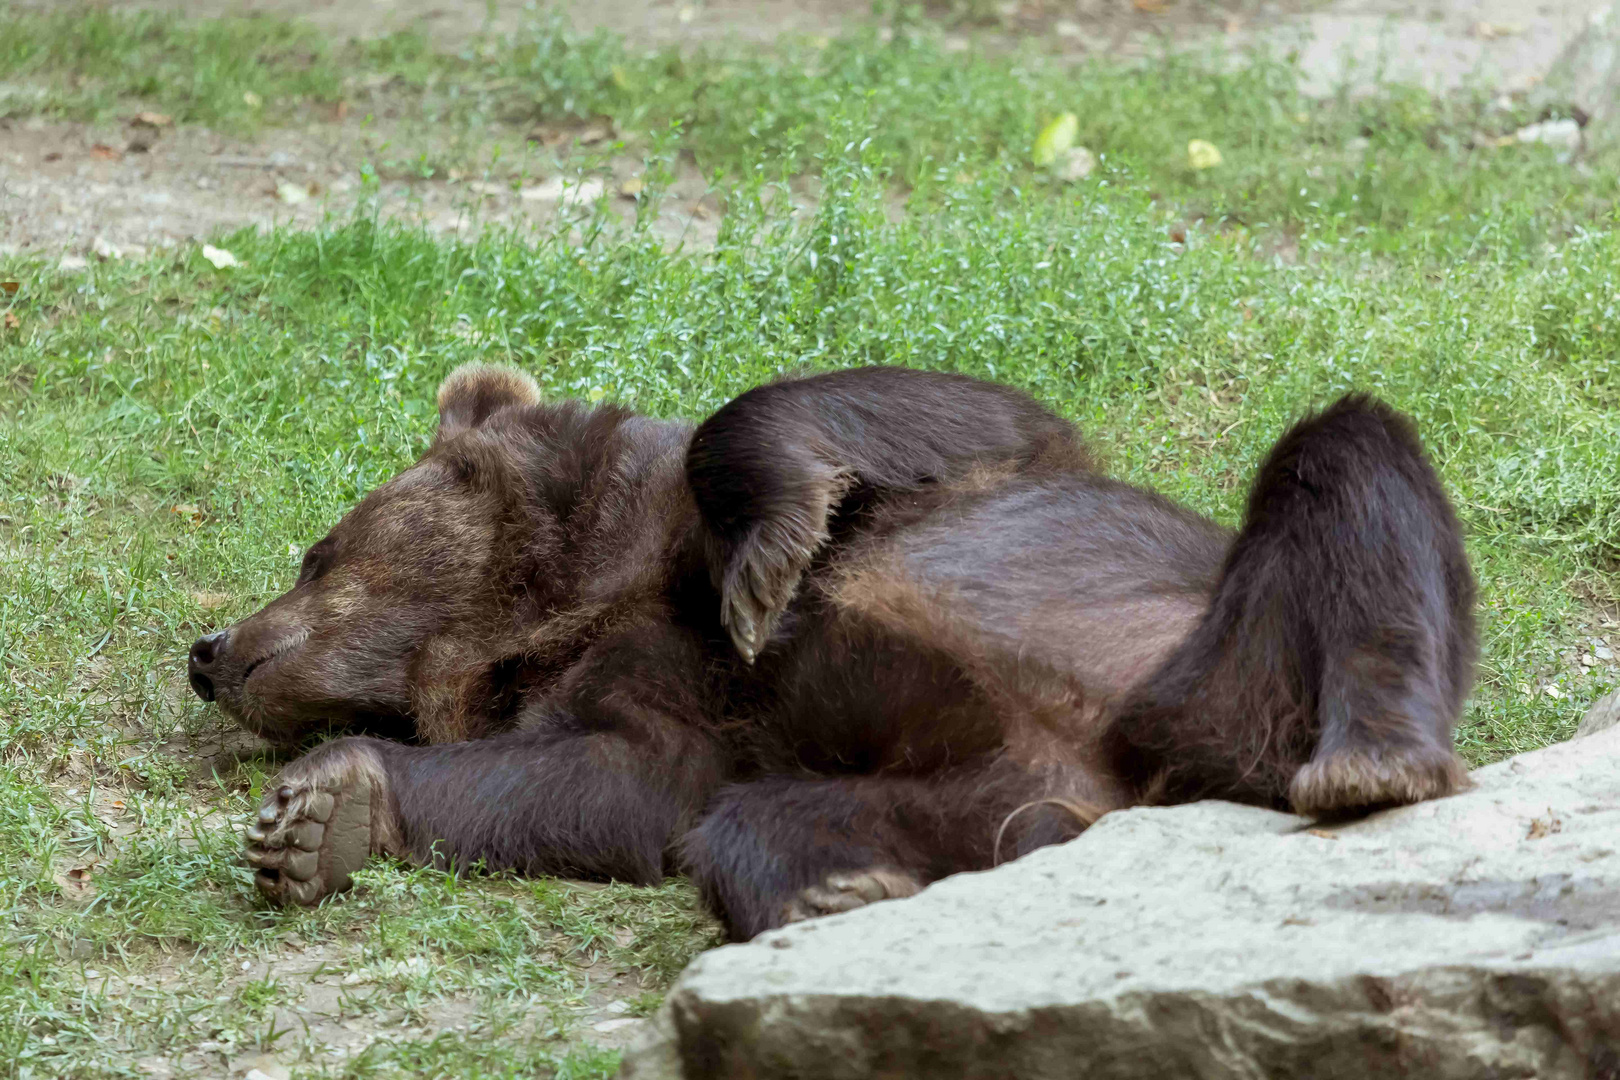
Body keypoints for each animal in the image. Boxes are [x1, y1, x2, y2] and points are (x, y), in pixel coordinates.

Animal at [183, 362, 1477, 939]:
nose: (206, 647)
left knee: (1348, 459)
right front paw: (320, 818)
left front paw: (767, 568)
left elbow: (876, 416)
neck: (570, 595)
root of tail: (1136, 781)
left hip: (1216, 655)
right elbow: (611, 786)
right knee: (763, 825)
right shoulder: (643, 710)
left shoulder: (966, 464)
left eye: (317, 550)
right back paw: (842, 890)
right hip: (991, 777)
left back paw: (1375, 755)